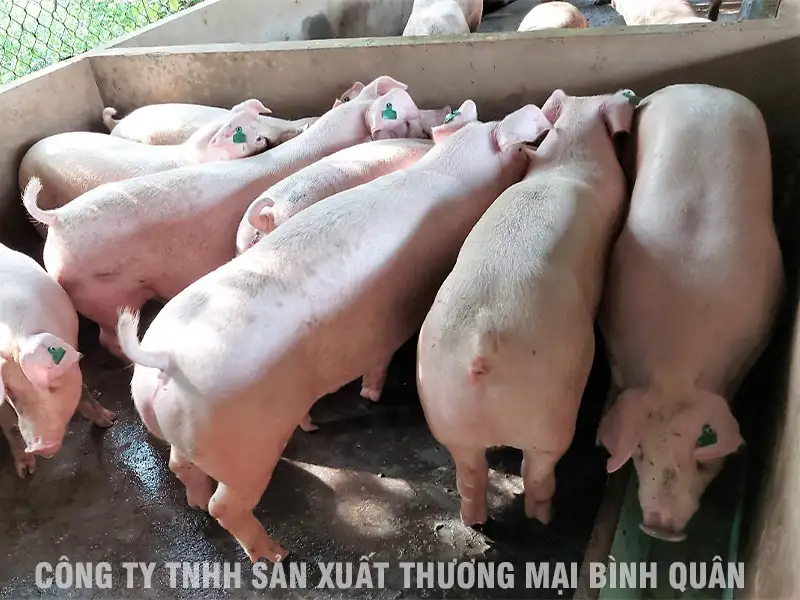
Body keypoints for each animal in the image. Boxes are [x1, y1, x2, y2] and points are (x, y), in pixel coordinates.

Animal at [0, 243, 115, 478]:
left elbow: (84, 391)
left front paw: (109, 421)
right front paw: (25, 473)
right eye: (11, 393)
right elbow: (9, 425)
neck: (14, 339)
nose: (39, 446)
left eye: (51, 382)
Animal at [416, 88, 635, 526]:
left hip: (446, 411)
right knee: (536, 471)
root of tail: (481, 347)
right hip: (551, 413)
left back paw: (475, 520)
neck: (569, 155)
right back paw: (543, 517)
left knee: (470, 474)